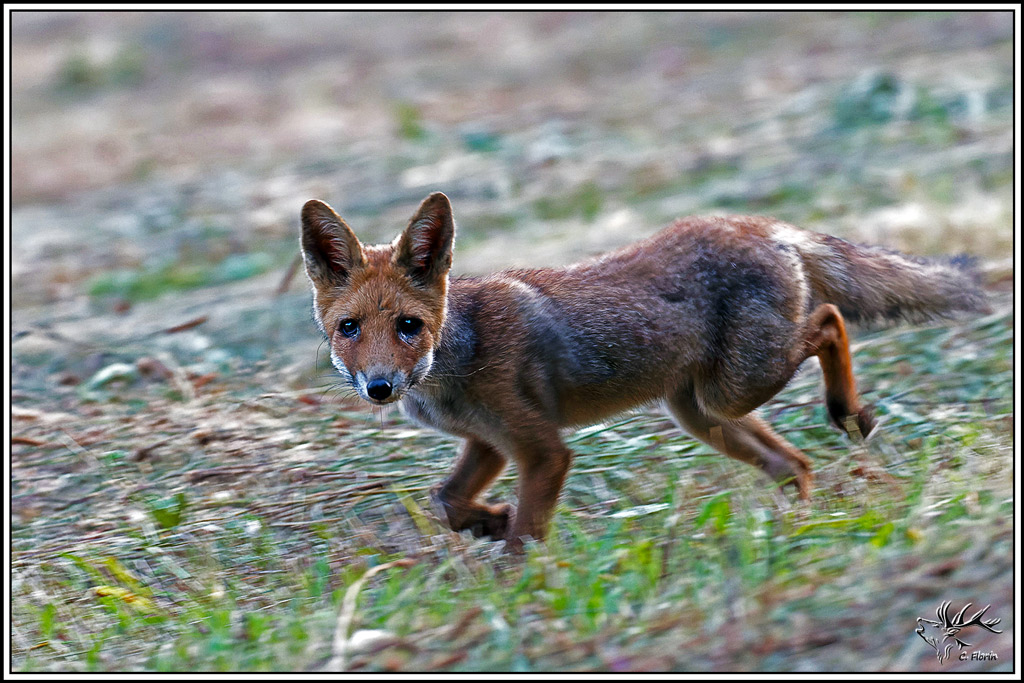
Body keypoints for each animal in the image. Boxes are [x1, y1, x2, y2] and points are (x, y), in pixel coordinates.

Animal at [300, 192, 987, 549]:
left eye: (408, 326)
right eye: (349, 328)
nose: (380, 387)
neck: (453, 363)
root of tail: (760, 222)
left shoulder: (542, 449)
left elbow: (525, 536)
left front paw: (520, 588)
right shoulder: (491, 442)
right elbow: (447, 501)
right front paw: (490, 521)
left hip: (738, 386)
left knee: (829, 320)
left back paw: (848, 412)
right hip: (704, 413)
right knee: (795, 464)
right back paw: (801, 528)